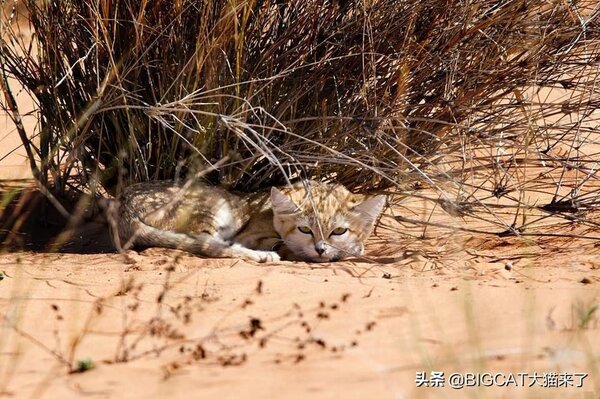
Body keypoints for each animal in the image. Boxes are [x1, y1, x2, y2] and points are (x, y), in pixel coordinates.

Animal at [115, 180, 386, 262]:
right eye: (304, 229)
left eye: (338, 231)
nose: (320, 249)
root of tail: (124, 205)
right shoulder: (252, 235)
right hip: (218, 208)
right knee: (210, 246)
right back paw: (262, 256)